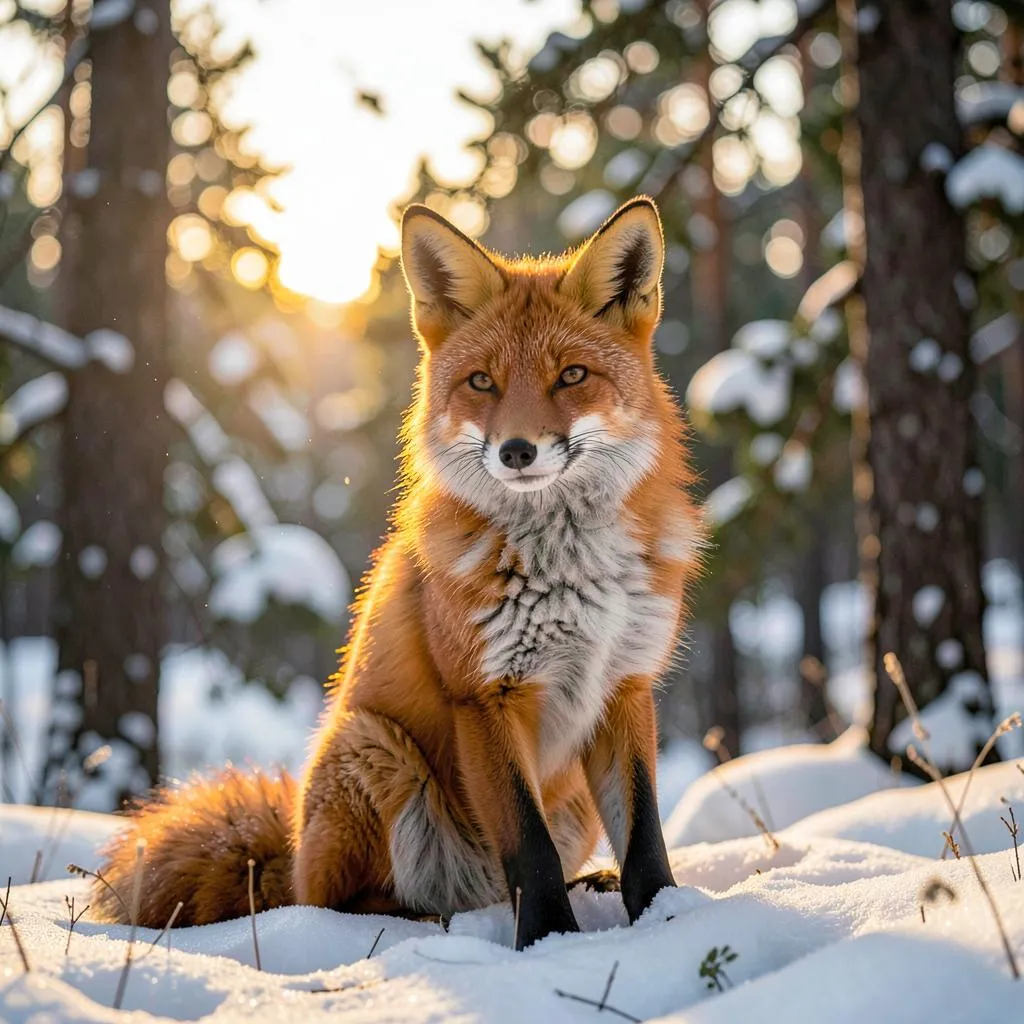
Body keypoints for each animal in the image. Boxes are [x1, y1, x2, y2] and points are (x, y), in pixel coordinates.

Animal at [92, 196, 705, 949]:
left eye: (571, 376)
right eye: (482, 382)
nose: (516, 450)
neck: (571, 572)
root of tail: (288, 853)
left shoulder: (625, 685)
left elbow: (645, 838)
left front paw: (667, 920)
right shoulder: (485, 695)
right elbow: (528, 851)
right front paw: (547, 945)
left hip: (564, 806)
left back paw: (582, 883)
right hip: (377, 749)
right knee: (341, 902)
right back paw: (426, 921)